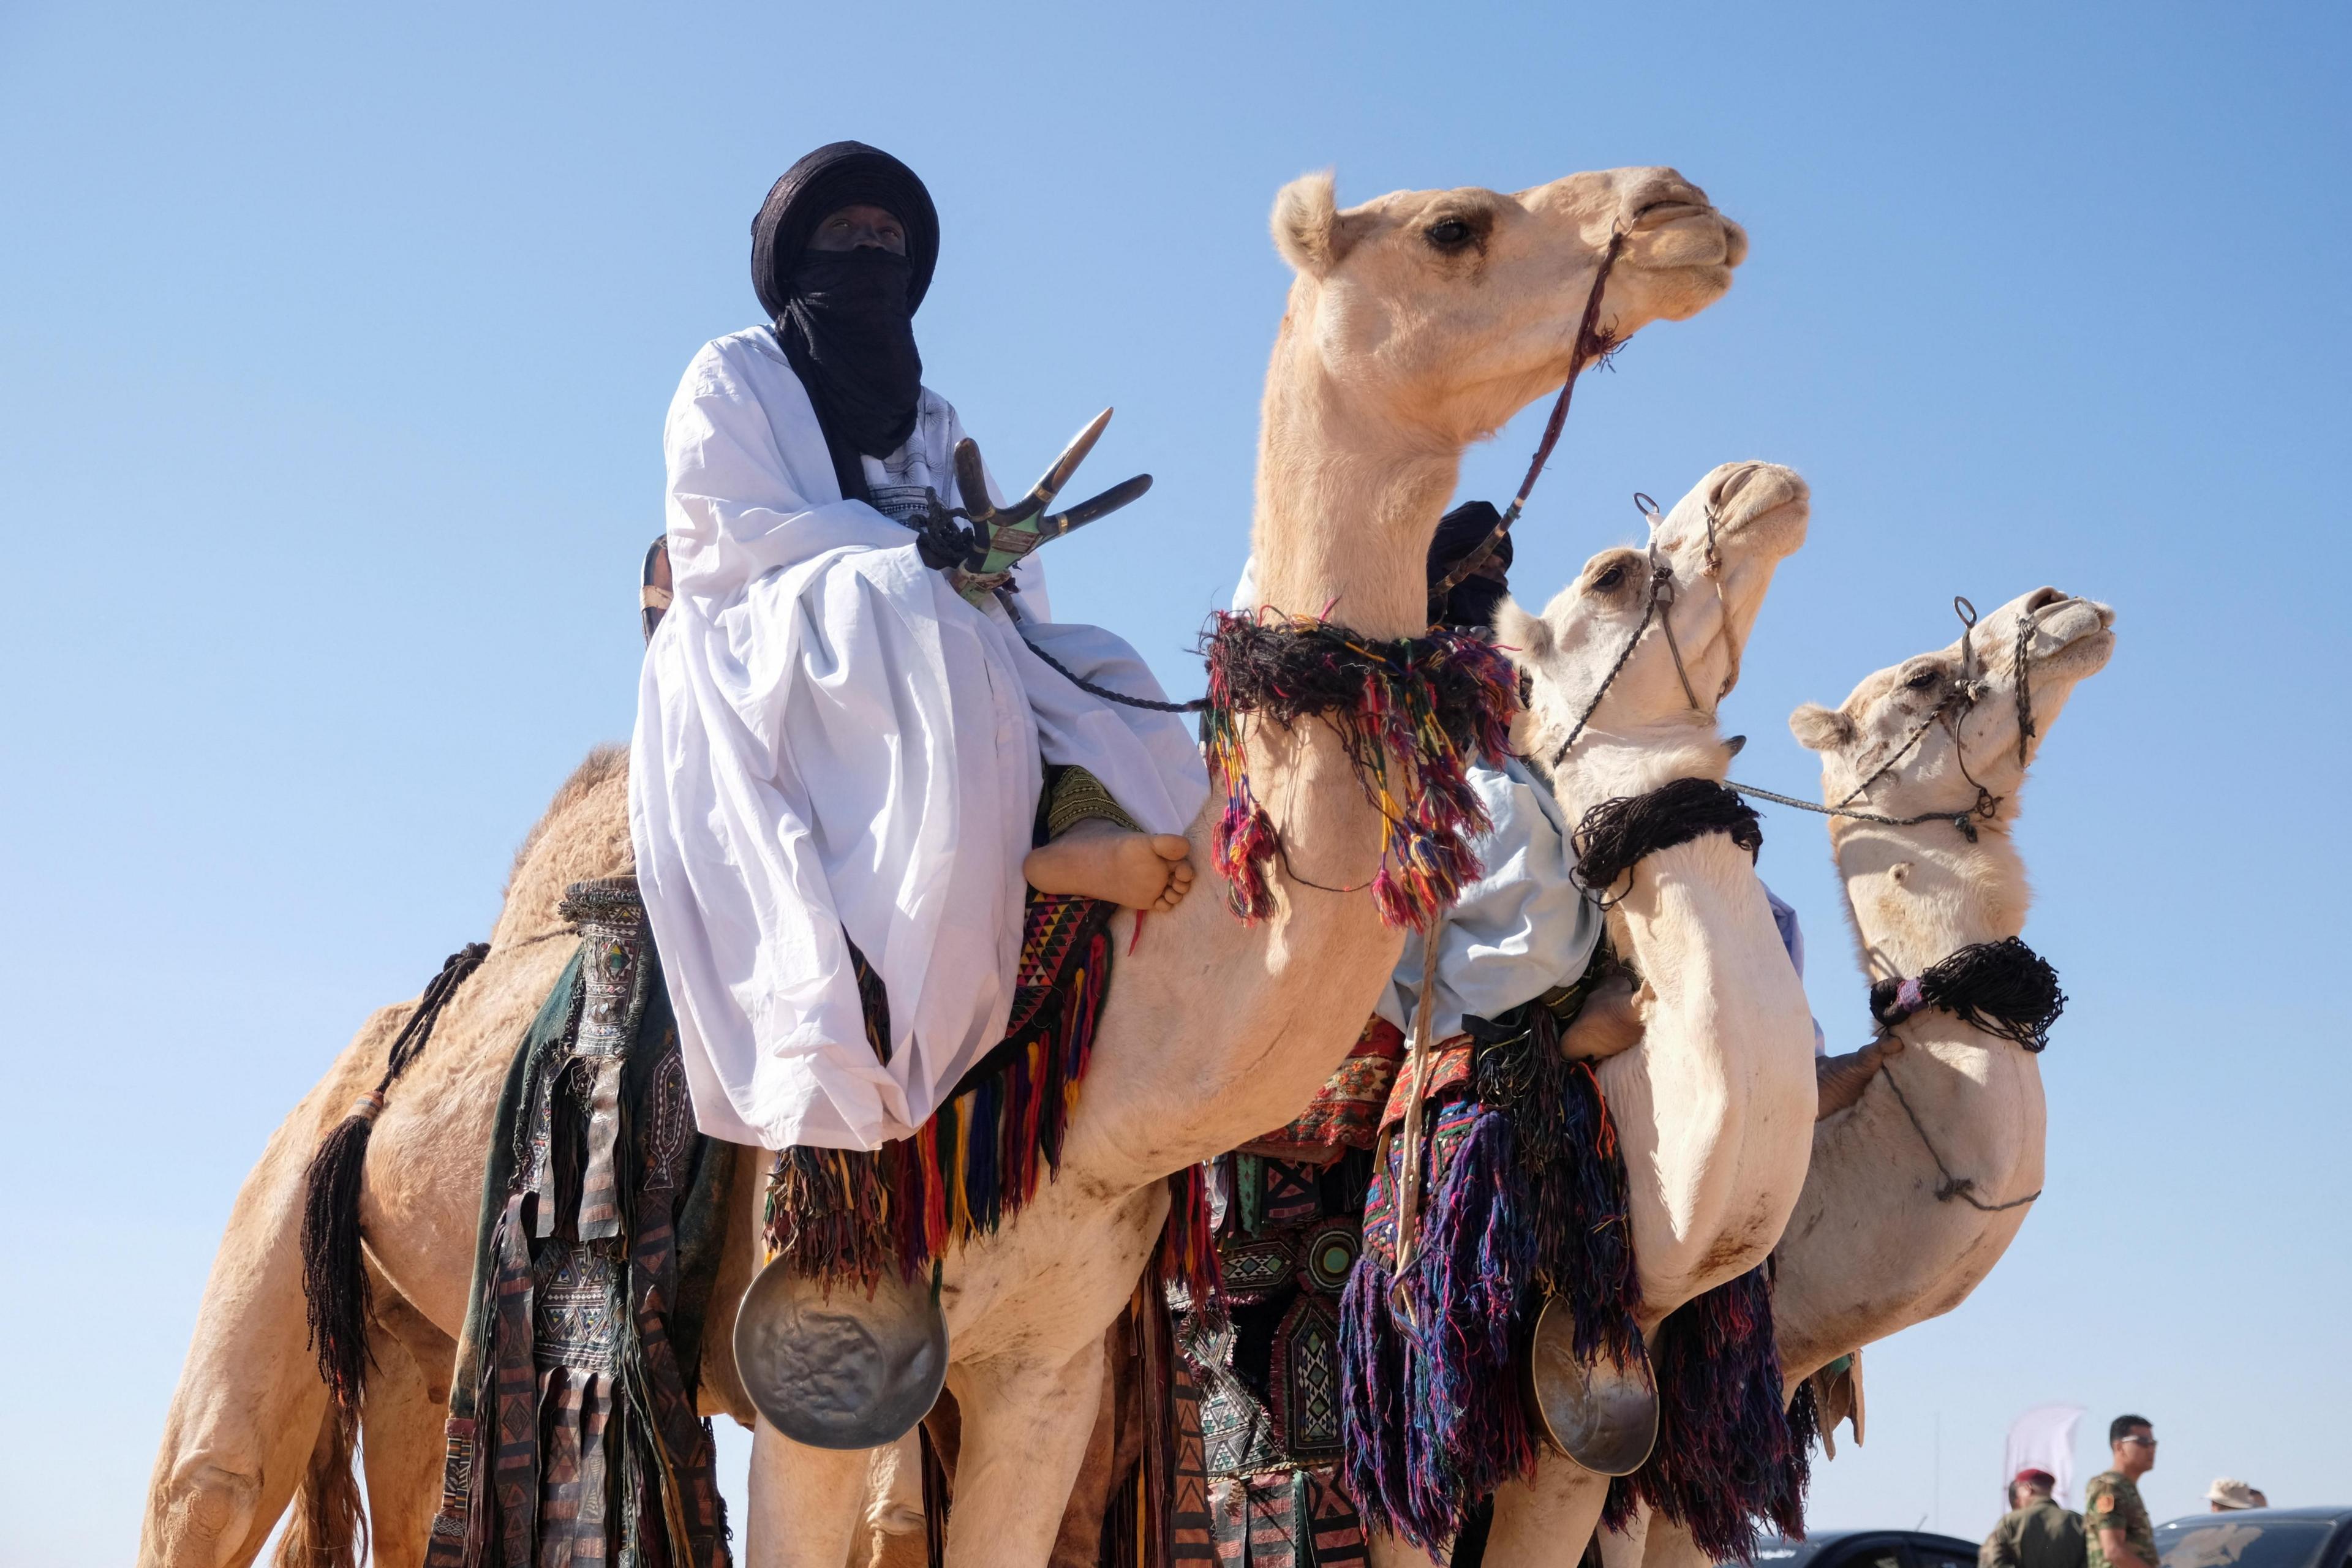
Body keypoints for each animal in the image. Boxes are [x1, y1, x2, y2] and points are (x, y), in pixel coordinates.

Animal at [133, 162, 1749, 1568]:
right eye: (1454, 226)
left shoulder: (1045, 1374)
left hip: (431, 1333)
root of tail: (383, 1052)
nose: (1684, 210)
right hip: (281, 1255)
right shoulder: (814, 1346)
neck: (1098, 1046)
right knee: (205, 1481)